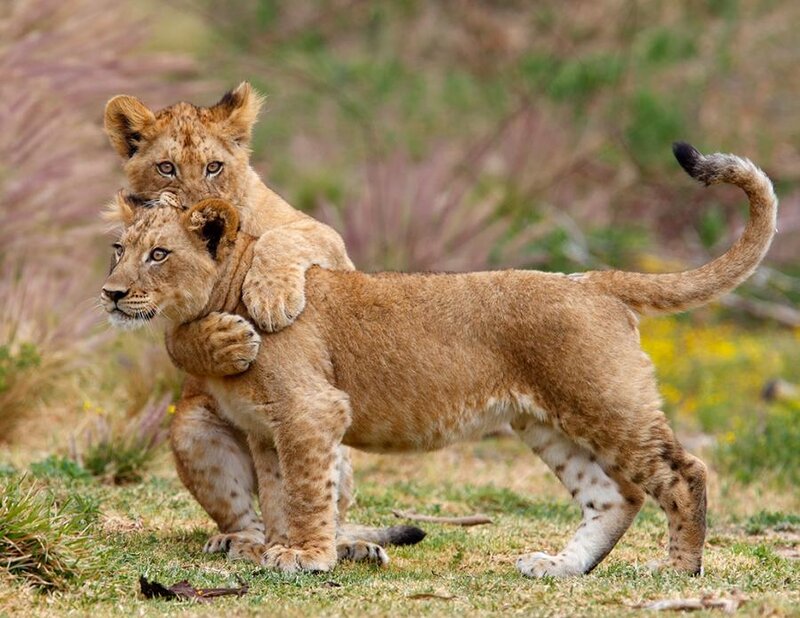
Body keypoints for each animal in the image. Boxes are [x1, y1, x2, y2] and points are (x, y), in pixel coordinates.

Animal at [100, 143, 777, 576]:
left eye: (158, 255)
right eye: (118, 249)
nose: (110, 292)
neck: (221, 296)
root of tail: (593, 279)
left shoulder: (311, 411)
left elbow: (308, 491)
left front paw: (306, 558)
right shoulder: (268, 432)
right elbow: (279, 495)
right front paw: (281, 548)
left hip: (604, 402)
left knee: (684, 473)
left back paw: (679, 572)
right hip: (548, 422)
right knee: (616, 497)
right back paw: (560, 566)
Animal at [103, 83, 424, 561]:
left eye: (214, 167)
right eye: (166, 168)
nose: (197, 210)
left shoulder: (329, 244)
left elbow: (280, 238)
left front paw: (271, 298)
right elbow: (178, 337)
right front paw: (226, 341)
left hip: (341, 459)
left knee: (328, 511)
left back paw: (354, 548)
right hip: (195, 431)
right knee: (246, 514)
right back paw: (240, 543)